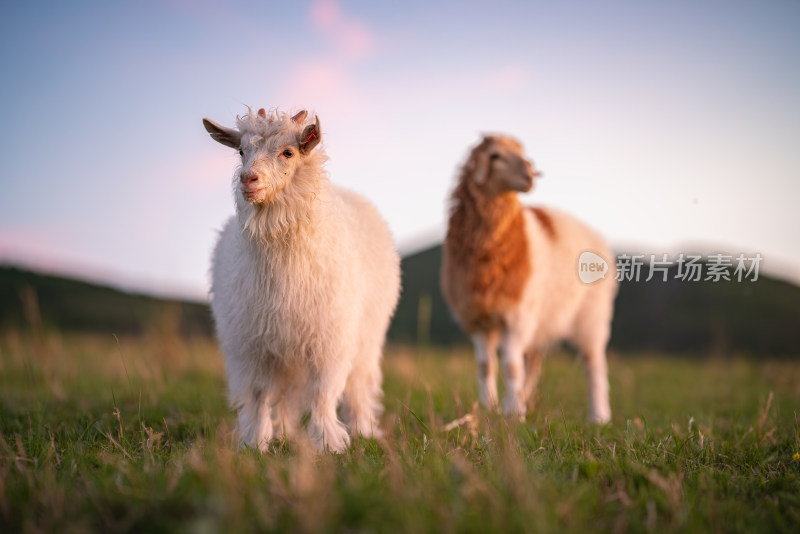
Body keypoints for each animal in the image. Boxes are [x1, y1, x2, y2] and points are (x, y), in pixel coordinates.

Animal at [202, 109, 398, 452]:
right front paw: (255, 443)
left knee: (359, 387)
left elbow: (323, 395)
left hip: (366, 339)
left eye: (288, 152)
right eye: (240, 151)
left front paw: (330, 443)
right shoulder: (251, 346)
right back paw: (282, 434)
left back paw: (364, 430)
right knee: (282, 397)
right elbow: (258, 397)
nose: (248, 179)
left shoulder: (330, 342)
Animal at [440, 136, 616, 426]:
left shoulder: (518, 316)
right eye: (495, 155)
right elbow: (486, 366)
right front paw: (492, 408)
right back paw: (526, 401)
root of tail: (593, 232)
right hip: (542, 320)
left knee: (594, 365)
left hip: (591, 317)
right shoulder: (478, 318)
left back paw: (599, 416)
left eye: (522, 152)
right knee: (534, 362)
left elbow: (511, 366)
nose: (531, 175)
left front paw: (512, 413)